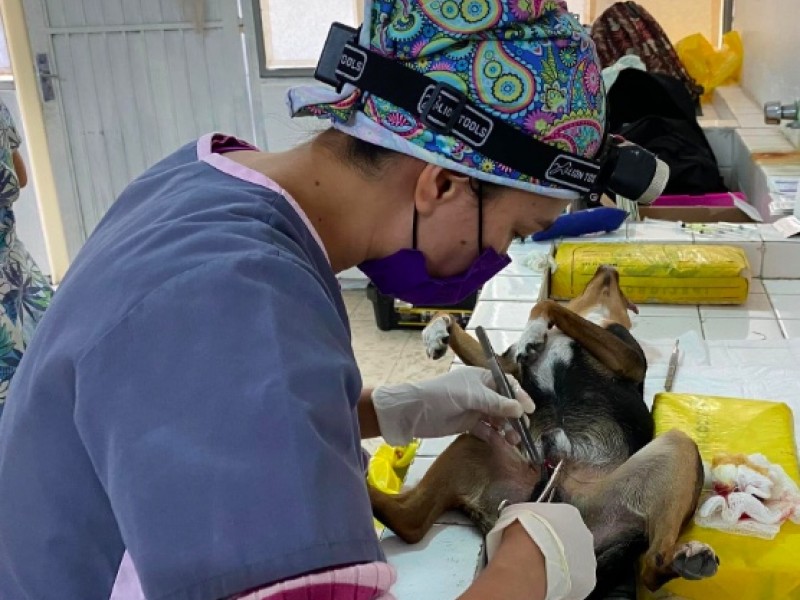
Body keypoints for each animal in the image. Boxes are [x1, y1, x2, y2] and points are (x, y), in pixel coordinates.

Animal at [368, 265, 719, 598]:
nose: (609, 267)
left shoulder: (627, 358)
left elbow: (547, 304)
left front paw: (534, 330)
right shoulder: (507, 367)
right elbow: (504, 338)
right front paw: (437, 329)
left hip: (675, 447)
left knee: (651, 568)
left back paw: (686, 559)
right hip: (479, 445)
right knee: (409, 520)